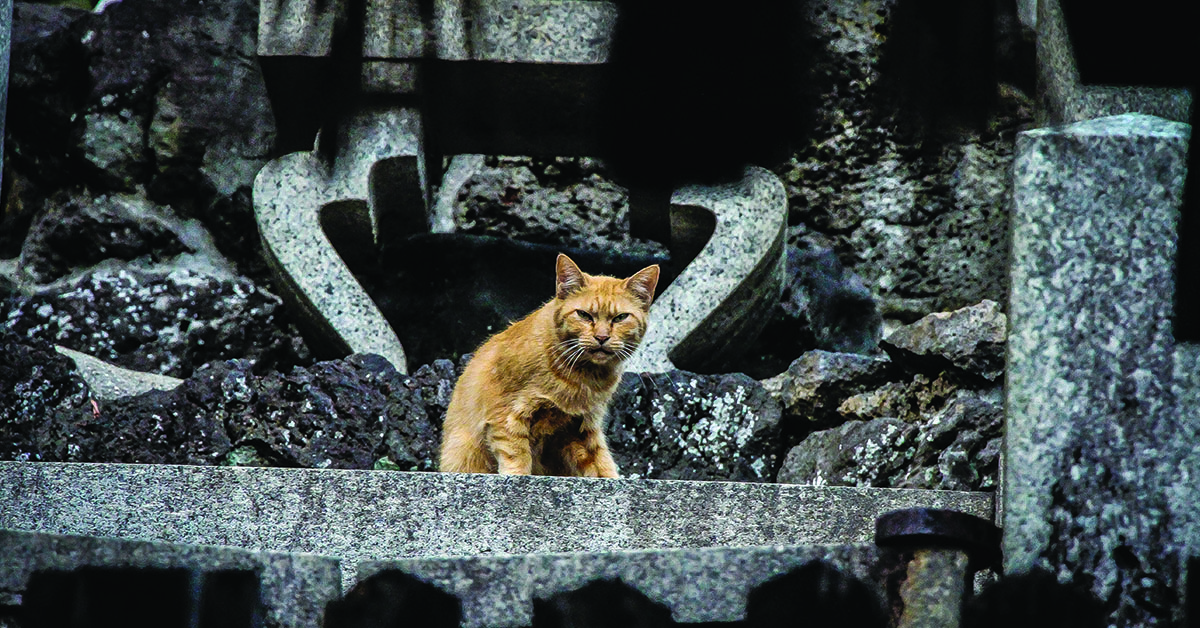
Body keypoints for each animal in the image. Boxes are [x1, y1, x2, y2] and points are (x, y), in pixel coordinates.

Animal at [441, 254, 662, 477]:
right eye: (584, 315)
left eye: (620, 317)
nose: (601, 337)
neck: (582, 377)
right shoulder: (506, 414)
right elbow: (517, 454)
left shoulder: (583, 427)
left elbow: (602, 463)